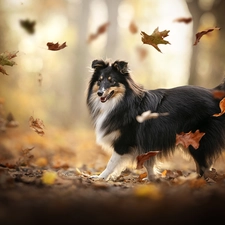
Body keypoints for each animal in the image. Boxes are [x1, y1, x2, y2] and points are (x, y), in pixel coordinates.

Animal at [87, 59, 225, 180]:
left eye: (112, 81)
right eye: (99, 80)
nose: (100, 93)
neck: (124, 101)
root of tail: (215, 93)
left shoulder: (125, 141)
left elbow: (111, 162)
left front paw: (101, 177)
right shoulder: (145, 142)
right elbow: (147, 163)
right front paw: (151, 179)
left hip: (198, 141)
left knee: (204, 165)